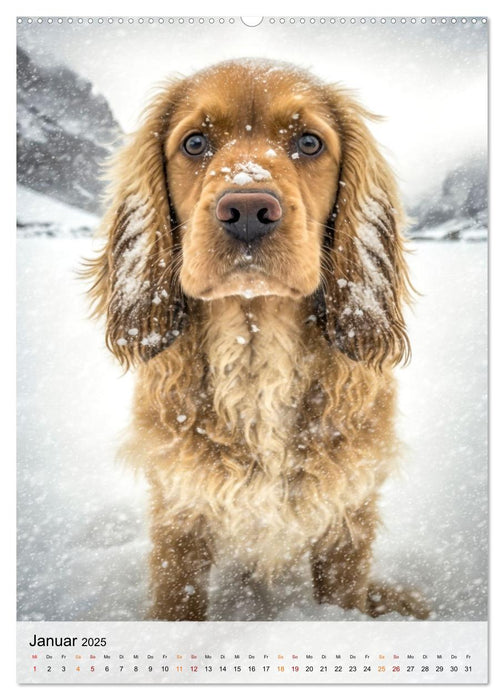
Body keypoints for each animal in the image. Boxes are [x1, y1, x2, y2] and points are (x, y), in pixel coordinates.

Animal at [86, 58, 430, 616]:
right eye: (195, 143)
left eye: (309, 143)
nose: (247, 209)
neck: (255, 349)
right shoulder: (179, 514)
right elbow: (176, 602)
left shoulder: (348, 518)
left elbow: (345, 596)